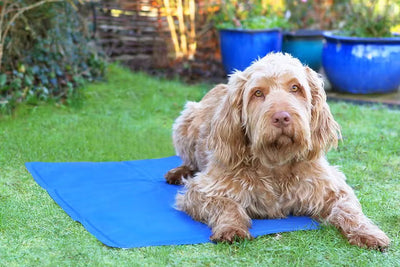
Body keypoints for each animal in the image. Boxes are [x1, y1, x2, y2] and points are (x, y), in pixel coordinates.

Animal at [164, 52, 390, 251]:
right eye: (258, 93)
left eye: (295, 88)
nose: (282, 117)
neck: (276, 162)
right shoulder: (202, 190)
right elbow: (227, 205)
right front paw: (231, 227)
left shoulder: (333, 188)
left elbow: (349, 209)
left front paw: (368, 232)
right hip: (186, 120)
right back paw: (179, 172)